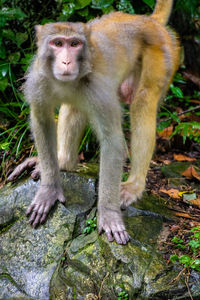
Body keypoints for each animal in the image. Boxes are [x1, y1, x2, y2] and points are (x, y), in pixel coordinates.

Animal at [7, 0, 180, 244]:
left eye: (75, 44)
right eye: (57, 43)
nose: (66, 61)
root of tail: (148, 20)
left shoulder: (98, 90)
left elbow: (112, 141)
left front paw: (108, 214)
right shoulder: (38, 79)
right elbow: (42, 121)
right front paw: (49, 188)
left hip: (163, 54)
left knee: (143, 101)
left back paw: (135, 185)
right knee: (74, 107)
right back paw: (64, 162)